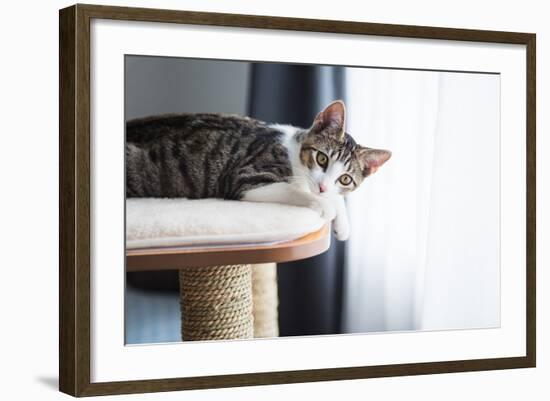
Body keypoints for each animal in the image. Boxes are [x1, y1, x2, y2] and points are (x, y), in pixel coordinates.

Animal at [126, 101, 392, 239]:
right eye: (322, 158)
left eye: (345, 179)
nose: (322, 186)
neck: (293, 152)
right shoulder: (246, 177)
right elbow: (294, 190)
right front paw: (326, 207)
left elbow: (332, 196)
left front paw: (342, 223)